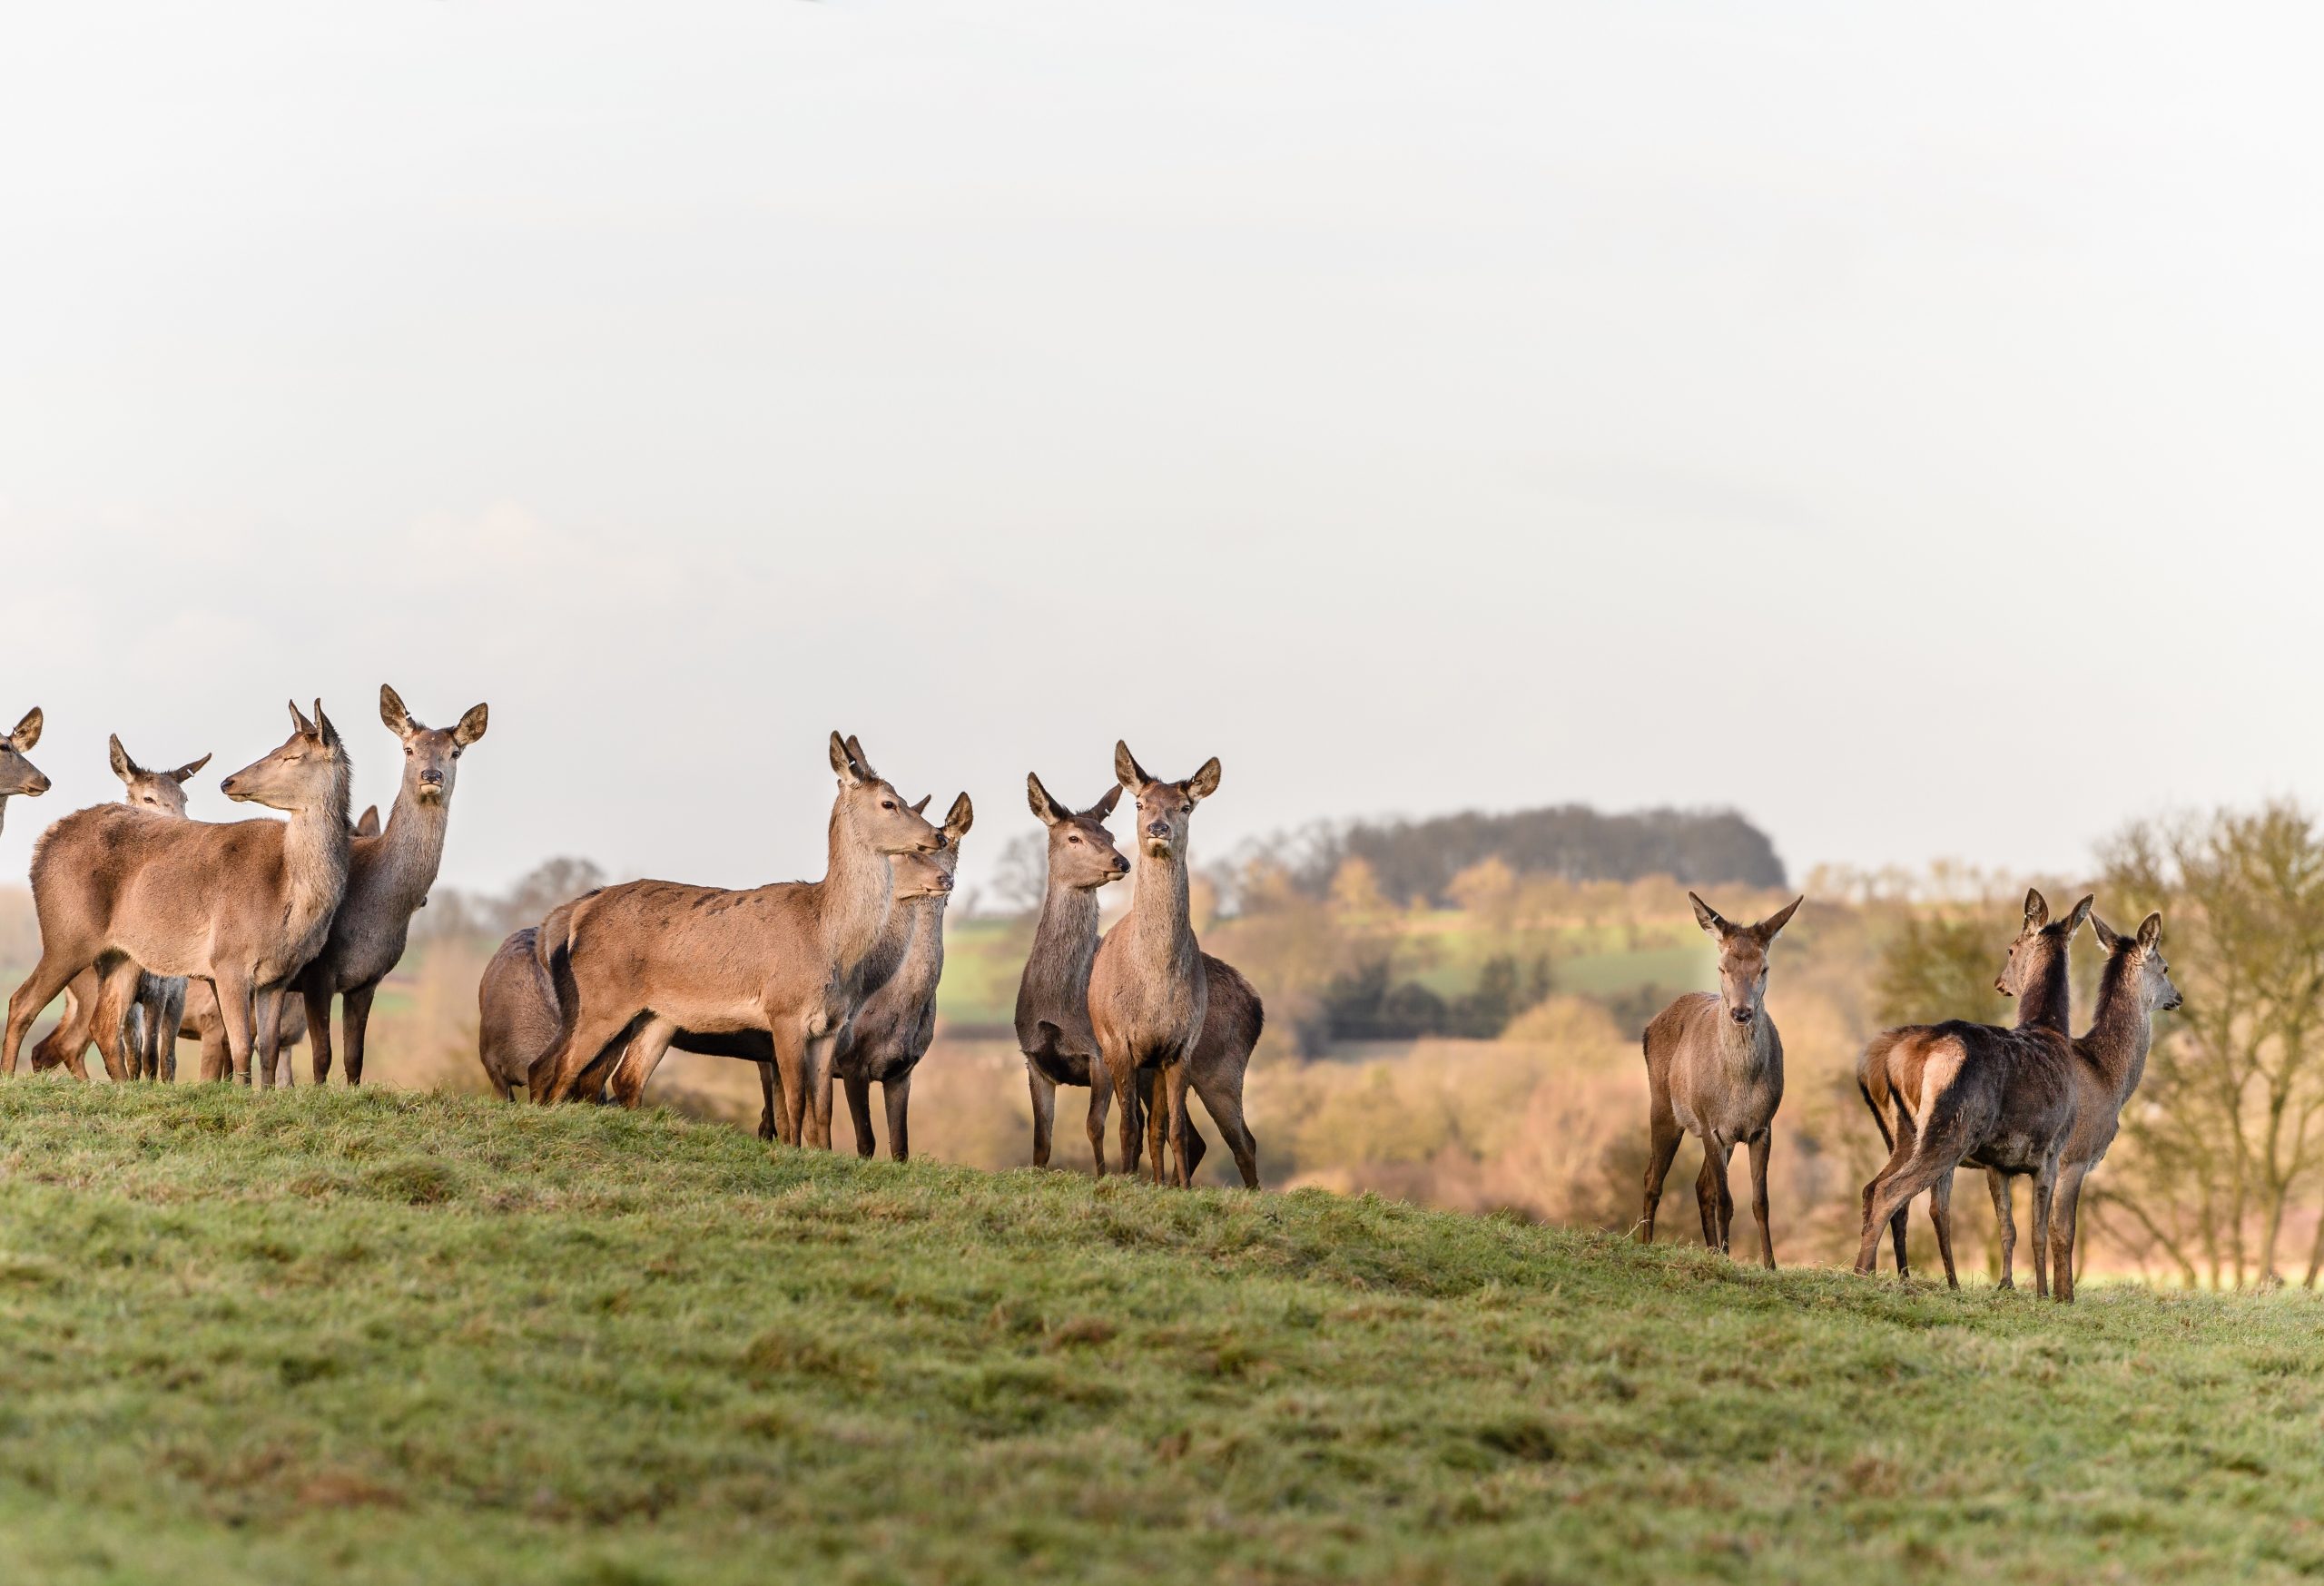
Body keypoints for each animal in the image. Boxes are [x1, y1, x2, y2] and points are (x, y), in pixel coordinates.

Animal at [254, 685, 487, 1088]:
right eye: (408, 748)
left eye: (455, 752)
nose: (432, 774)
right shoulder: (318, 973)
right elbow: (322, 1055)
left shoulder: (368, 980)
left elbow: (355, 1057)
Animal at [527, 732, 941, 1150]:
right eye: (888, 802)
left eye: (905, 798)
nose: (937, 836)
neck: (830, 941)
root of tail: (576, 915)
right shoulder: (784, 1011)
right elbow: (795, 1102)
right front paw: (790, 1152)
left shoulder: (830, 1026)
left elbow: (822, 1109)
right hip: (601, 997)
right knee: (557, 1068)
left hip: (657, 1015)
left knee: (620, 1077)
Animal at [1639, 893, 1803, 1267]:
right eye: (1722, 967)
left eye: (1764, 968)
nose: (1741, 1012)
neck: (1739, 1089)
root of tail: (1649, 1027)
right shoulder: (1710, 1124)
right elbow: (1726, 1201)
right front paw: (1730, 1258)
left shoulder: (1761, 1127)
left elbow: (1760, 1202)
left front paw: (1769, 1265)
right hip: (1664, 1107)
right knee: (1653, 1176)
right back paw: (1645, 1243)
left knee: (1701, 1186)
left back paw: (1712, 1250)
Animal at [1853, 894, 2099, 1298]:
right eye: (2011, 947)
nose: (1999, 983)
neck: (2051, 1032)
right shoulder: (2051, 1150)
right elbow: (2039, 1232)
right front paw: (2044, 1295)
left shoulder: (2000, 1163)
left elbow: (2009, 1227)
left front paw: (2012, 1287)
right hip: (1953, 1127)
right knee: (1894, 1191)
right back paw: (1863, 1273)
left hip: (1906, 1132)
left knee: (1878, 1189)